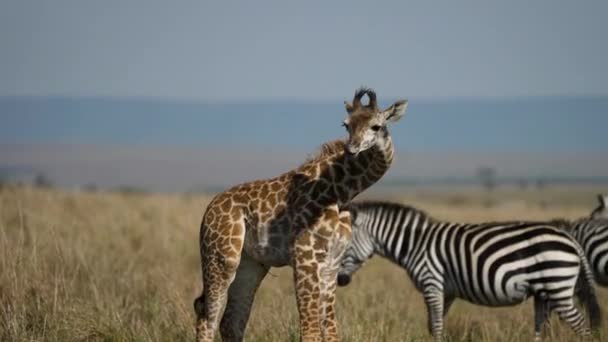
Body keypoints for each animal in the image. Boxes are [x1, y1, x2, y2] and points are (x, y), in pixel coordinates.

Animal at [195, 88, 408, 342]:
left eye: (376, 126)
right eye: (346, 125)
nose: (352, 148)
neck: (340, 192)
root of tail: (208, 210)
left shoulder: (332, 263)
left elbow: (330, 329)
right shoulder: (305, 258)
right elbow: (310, 331)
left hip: (251, 264)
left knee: (231, 321)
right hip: (222, 258)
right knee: (207, 318)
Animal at [338, 202, 604, 340]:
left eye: (344, 245)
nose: (339, 281)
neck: (415, 244)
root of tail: (570, 238)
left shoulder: (432, 283)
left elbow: (436, 325)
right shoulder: (445, 292)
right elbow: (433, 324)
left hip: (558, 286)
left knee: (582, 327)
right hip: (544, 293)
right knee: (542, 330)